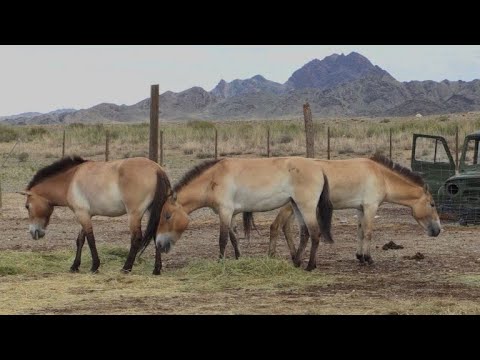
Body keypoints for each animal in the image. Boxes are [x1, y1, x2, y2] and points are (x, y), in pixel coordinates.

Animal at [17, 156, 173, 274]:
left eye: (27, 206)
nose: (34, 232)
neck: (69, 181)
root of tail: (157, 169)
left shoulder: (82, 214)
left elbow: (90, 239)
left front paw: (94, 266)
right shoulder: (86, 214)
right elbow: (80, 240)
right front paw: (75, 266)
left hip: (134, 215)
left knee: (136, 238)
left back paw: (126, 268)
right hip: (153, 211)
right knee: (155, 235)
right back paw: (156, 269)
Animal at [140, 157, 334, 270]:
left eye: (167, 215)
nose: (159, 244)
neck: (213, 179)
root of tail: (320, 169)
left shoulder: (225, 212)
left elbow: (223, 239)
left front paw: (220, 262)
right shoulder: (231, 214)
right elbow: (233, 238)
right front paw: (239, 258)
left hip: (306, 207)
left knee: (315, 234)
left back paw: (310, 266)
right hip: (296, 206)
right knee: (305, 234)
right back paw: (297, 262)